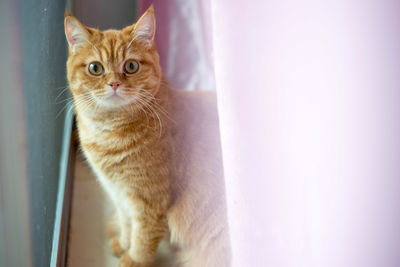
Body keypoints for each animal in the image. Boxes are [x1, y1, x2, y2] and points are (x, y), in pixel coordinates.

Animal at [64, 4, 230, 267]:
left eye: (131, 66)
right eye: (95, 68)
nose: (114, 84)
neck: (107, 133)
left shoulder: (149, 201)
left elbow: (142, 236)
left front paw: (133, 259)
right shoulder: (119, 194)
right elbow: (127, 224)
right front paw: (123, 244)